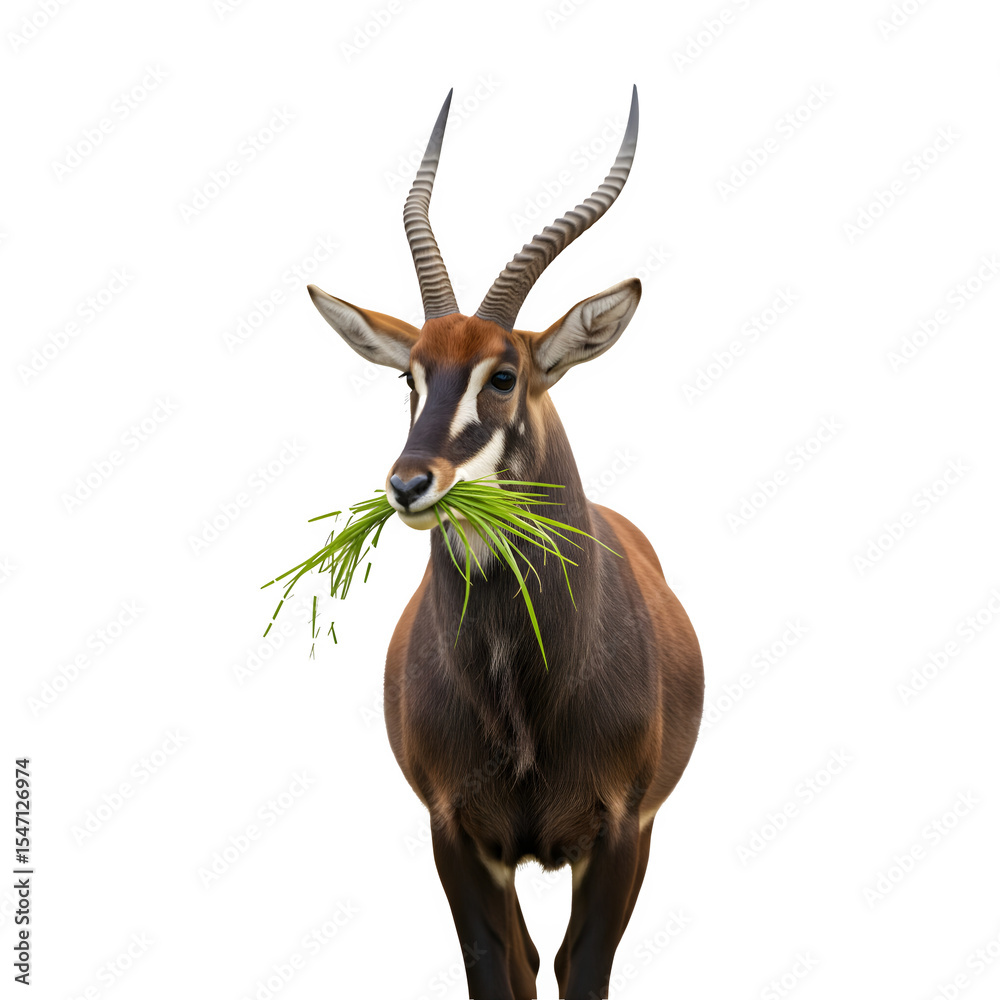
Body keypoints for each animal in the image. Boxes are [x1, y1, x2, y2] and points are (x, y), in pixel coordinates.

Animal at [307, 86, 703, 1000]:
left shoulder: (621, 832)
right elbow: (499, 965)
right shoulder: (456, 832)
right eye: (410, 374)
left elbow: (578, 967)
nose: (410, 484)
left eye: (503, 373)